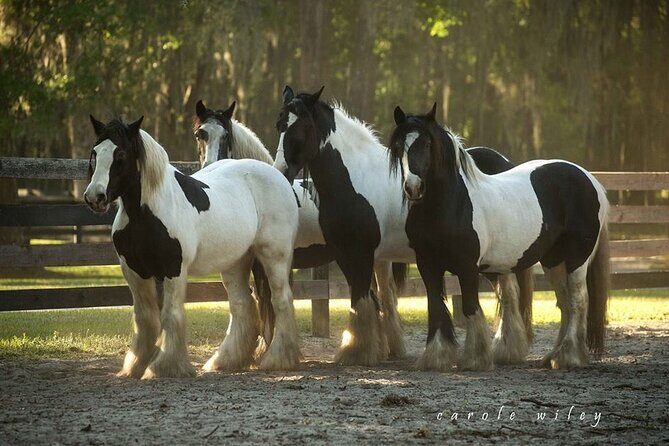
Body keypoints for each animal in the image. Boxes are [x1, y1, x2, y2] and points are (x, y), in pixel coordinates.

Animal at [83, 115, 300, 378]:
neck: (145, 214)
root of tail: (277, 176)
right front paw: (135, 366)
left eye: (121, 154)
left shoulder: (173, 270)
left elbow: (171, 315)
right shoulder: (134, 271)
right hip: (235, 262)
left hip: (274, 256)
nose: (95, 197)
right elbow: (145, 319)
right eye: (95, 152)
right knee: (241, 305)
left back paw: (279, 359)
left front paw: (165, 366)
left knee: (281, 300)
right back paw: (225, 361)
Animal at [273, 86, 534, 370]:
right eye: (279, 125)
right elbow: (363, 299)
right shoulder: (344, 254)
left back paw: (505, 350)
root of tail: (505, 163)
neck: (355, 178)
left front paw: (358, 352)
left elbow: (362, 298)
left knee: (508, 293)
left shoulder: (363, 253)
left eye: (302, 127)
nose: (280, 171)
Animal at [389, 104, 610, 370]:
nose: (413, 188)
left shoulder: (467, 268)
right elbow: (435, 307)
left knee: (578, 300)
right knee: (565, 302)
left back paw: (569, 356)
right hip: (553, 260)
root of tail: (590, 179)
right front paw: (436, 357)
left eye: (428, 144)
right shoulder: (427, 265)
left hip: (577, 258)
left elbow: (470, 307)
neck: (452, 204)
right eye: (399, 146)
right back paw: (552, 356)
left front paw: (474, 359)